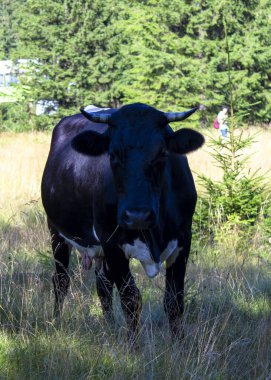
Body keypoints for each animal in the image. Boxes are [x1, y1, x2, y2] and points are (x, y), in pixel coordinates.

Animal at [42, 103, 204, 338]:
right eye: (112, 155)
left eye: (162, 153)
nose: (138, 215)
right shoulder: (112, 243)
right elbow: (131, 299)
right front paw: (133, 345)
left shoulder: (184, 239)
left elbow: (174, 301)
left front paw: (179, 343)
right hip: (56, 231)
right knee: (61, 280)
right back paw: (55, 321)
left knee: (102, 285)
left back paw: (109, 326)